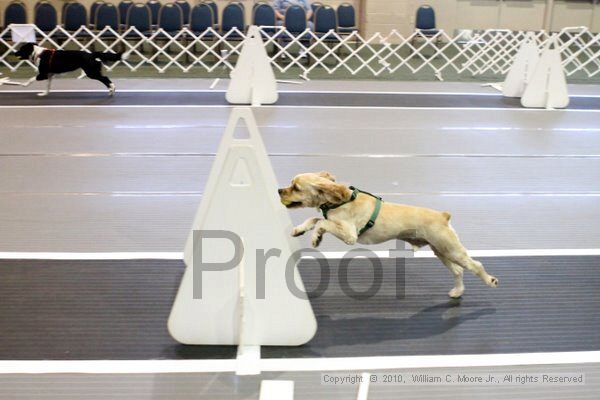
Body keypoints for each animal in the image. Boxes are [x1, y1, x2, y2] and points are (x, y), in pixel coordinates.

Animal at [278, 170, 500, 298]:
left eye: (295, 187)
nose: (280, 190)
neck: (340, 200)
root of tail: (443, 216)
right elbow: (315, 219)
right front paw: (300, 229)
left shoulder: (349, 234)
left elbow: (322, 222)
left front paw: (316, 236)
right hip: (441, 251)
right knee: (458, 271)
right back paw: (457, 292)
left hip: (451, 249)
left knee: (475, 265)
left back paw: (490, 281)